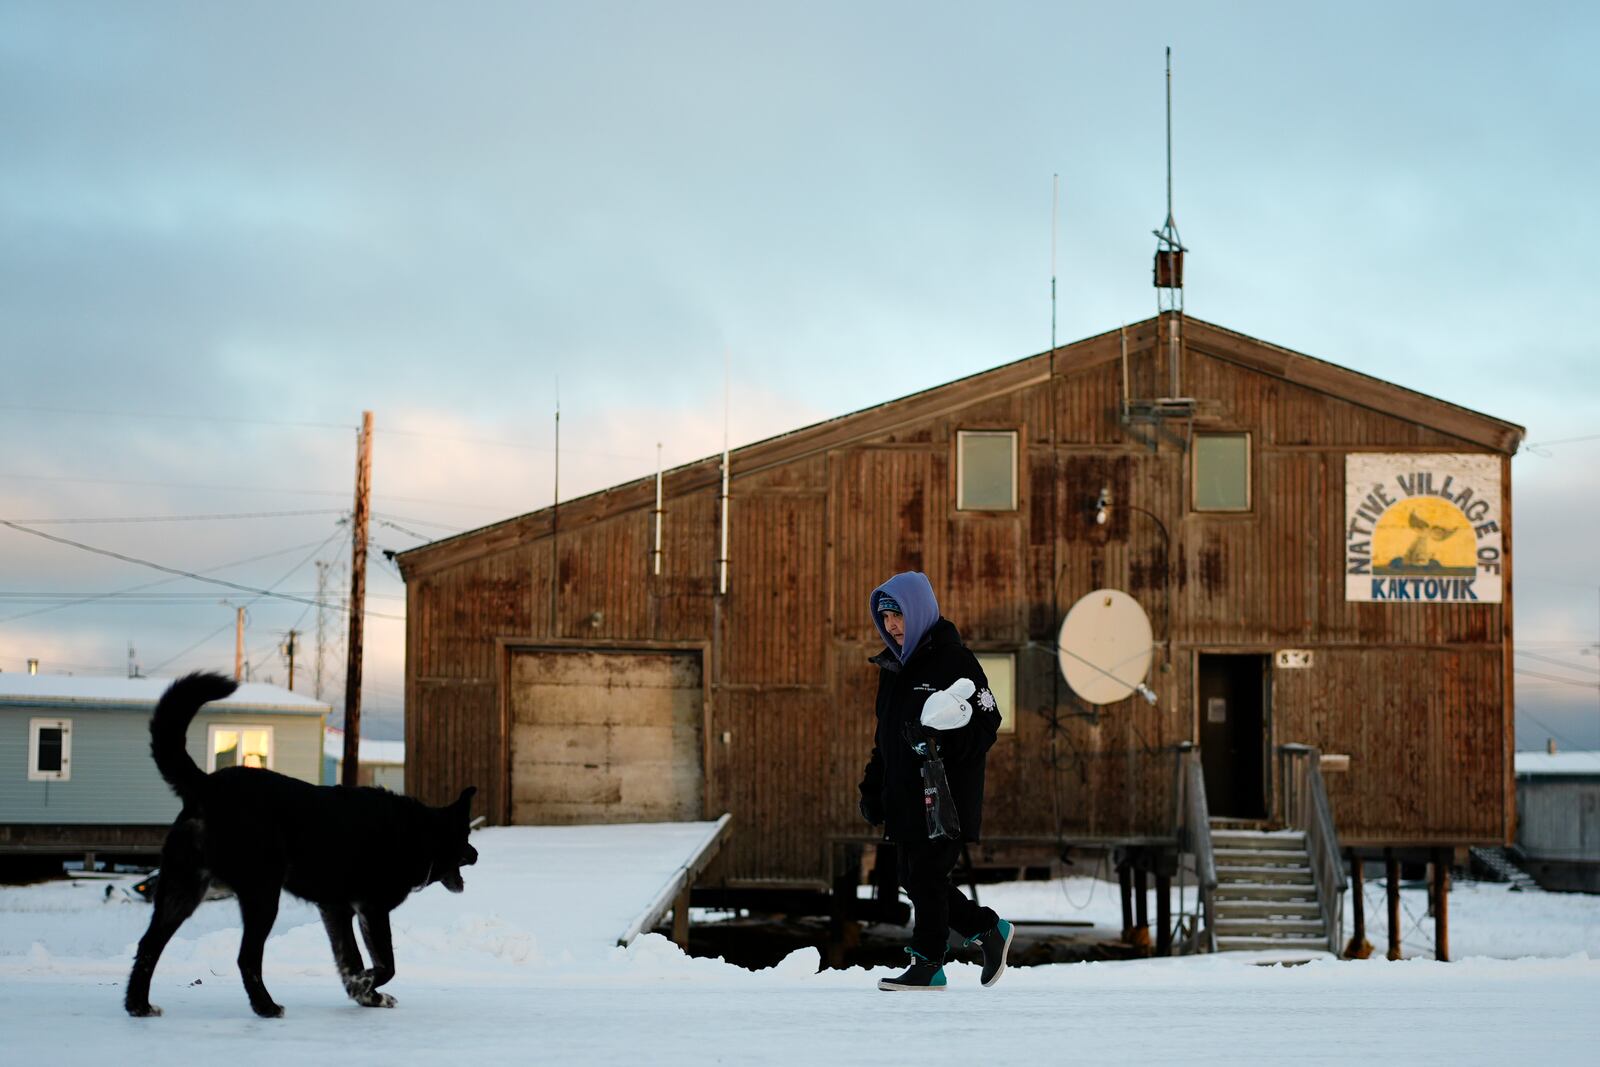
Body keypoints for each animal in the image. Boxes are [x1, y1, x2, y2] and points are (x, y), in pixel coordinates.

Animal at [125, 675, 476, 1017]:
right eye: (466, 837)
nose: (476, 854)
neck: (419, 832)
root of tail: (206, 784)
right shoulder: (372, 909)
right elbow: (386, 965)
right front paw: (366, 985)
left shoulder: (337, 910)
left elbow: (351, 961)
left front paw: (365, 994)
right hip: (263, 894)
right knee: (246, 957)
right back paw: (265, 1007)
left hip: (183, 891)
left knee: (148, 946)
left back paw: (138, 1005)